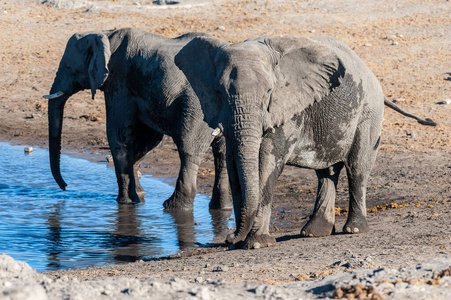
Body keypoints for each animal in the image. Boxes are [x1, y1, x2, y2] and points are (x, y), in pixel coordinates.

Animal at [43, 28, 231, 211]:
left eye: (68, 67)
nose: (65, 187)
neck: (105, 34)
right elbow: (149, 140)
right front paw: (139, 195)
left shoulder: (119, 82)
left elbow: (118, 134)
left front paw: (126, 202)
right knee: (222, 153)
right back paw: (221, 208)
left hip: (198, 105)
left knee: (189, 148)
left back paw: (174, 207)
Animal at [175, 34, 436, 248]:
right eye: (219, 92)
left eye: (269, 92)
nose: (229, 238)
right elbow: (234, 165)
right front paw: (240, 242)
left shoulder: (287, 109)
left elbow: (266, 163)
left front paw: (256, 243)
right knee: (327, 173)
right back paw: (314, 233)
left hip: (368, 111)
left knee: (357, 168)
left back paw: (353, 229)